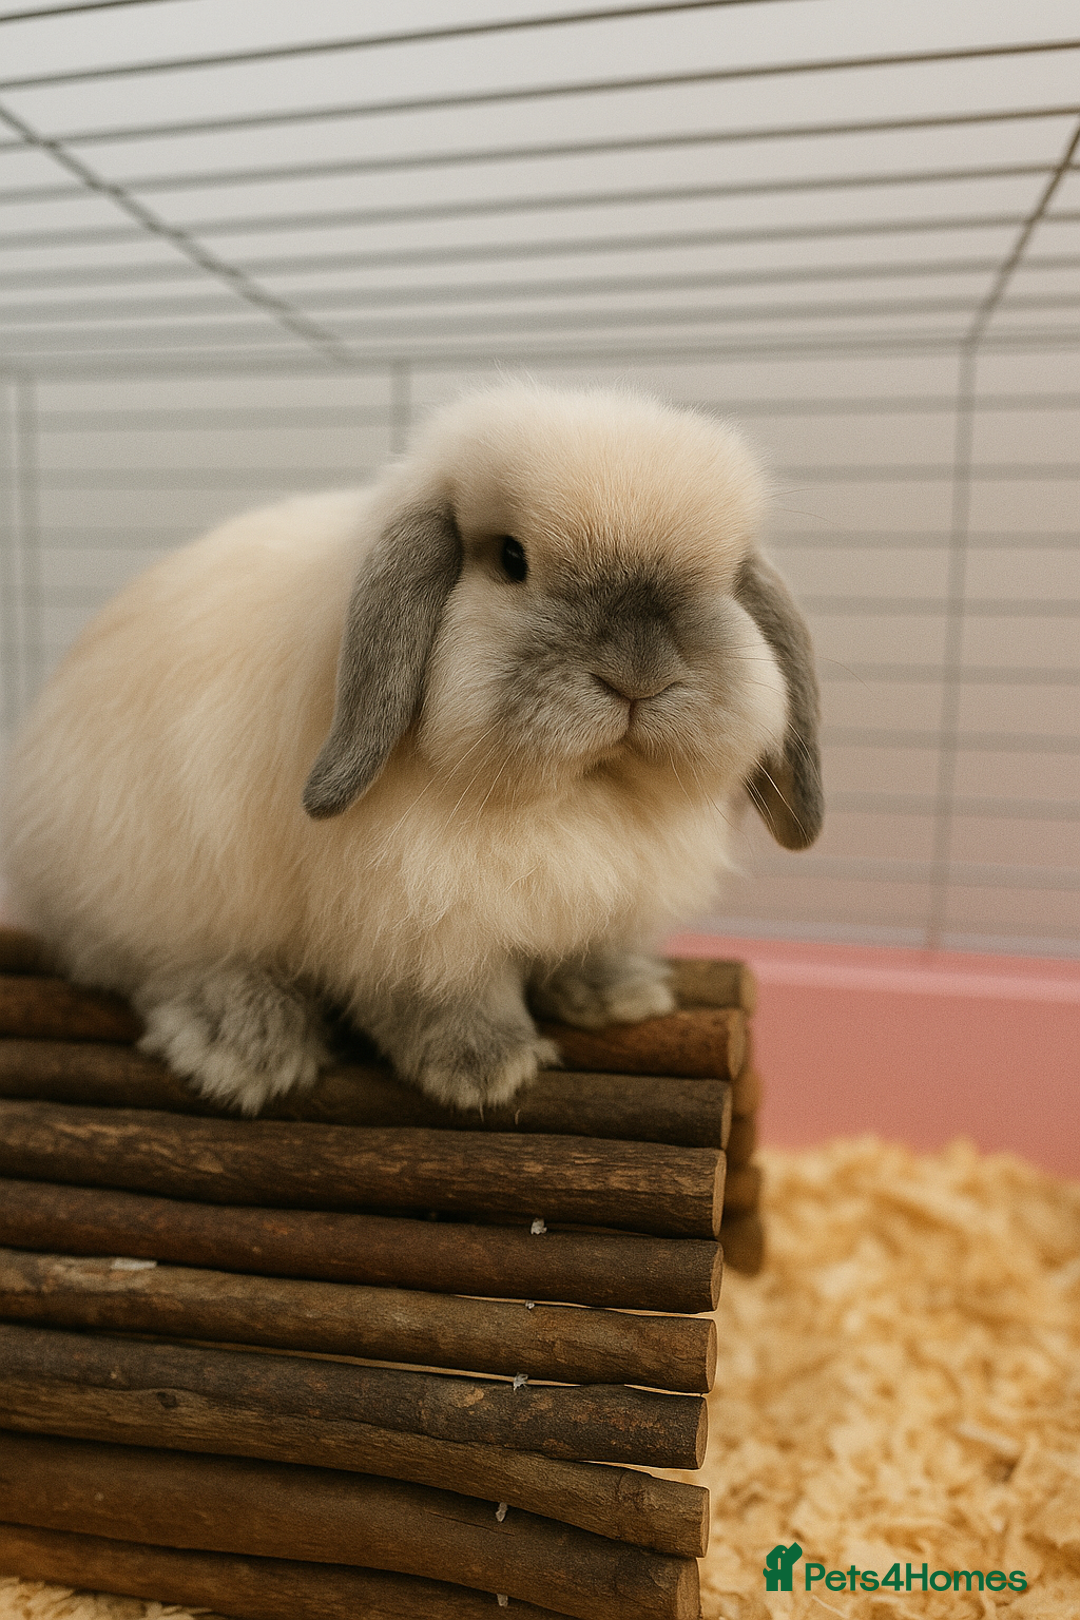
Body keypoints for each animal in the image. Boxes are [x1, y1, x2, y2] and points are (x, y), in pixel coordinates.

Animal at [1, 381, 821, 1115]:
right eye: (512, 560)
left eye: (724, 580)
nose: (638, 676)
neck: (577, 795)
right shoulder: (417, 923)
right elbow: (446, 995)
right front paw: (485, 1071)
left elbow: (590, 946)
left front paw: (623, 997)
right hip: (146, 888)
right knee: (154, 968)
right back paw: (246, 1047)